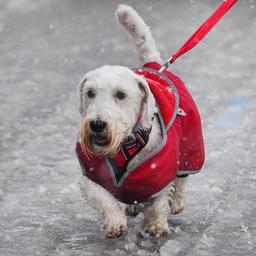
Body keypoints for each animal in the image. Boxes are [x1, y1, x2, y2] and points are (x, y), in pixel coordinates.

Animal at [75, 5, 204, 238]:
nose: (97, 124)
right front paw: (115, 223)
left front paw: (155, 225)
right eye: (90, 93)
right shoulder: (90, 175)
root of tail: (152, 64)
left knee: (183, 176)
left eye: (121, 94)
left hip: (192, 144)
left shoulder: (160, 172)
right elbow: (105, 200)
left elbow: (159, 202)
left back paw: (177, 201)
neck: (124, 146)